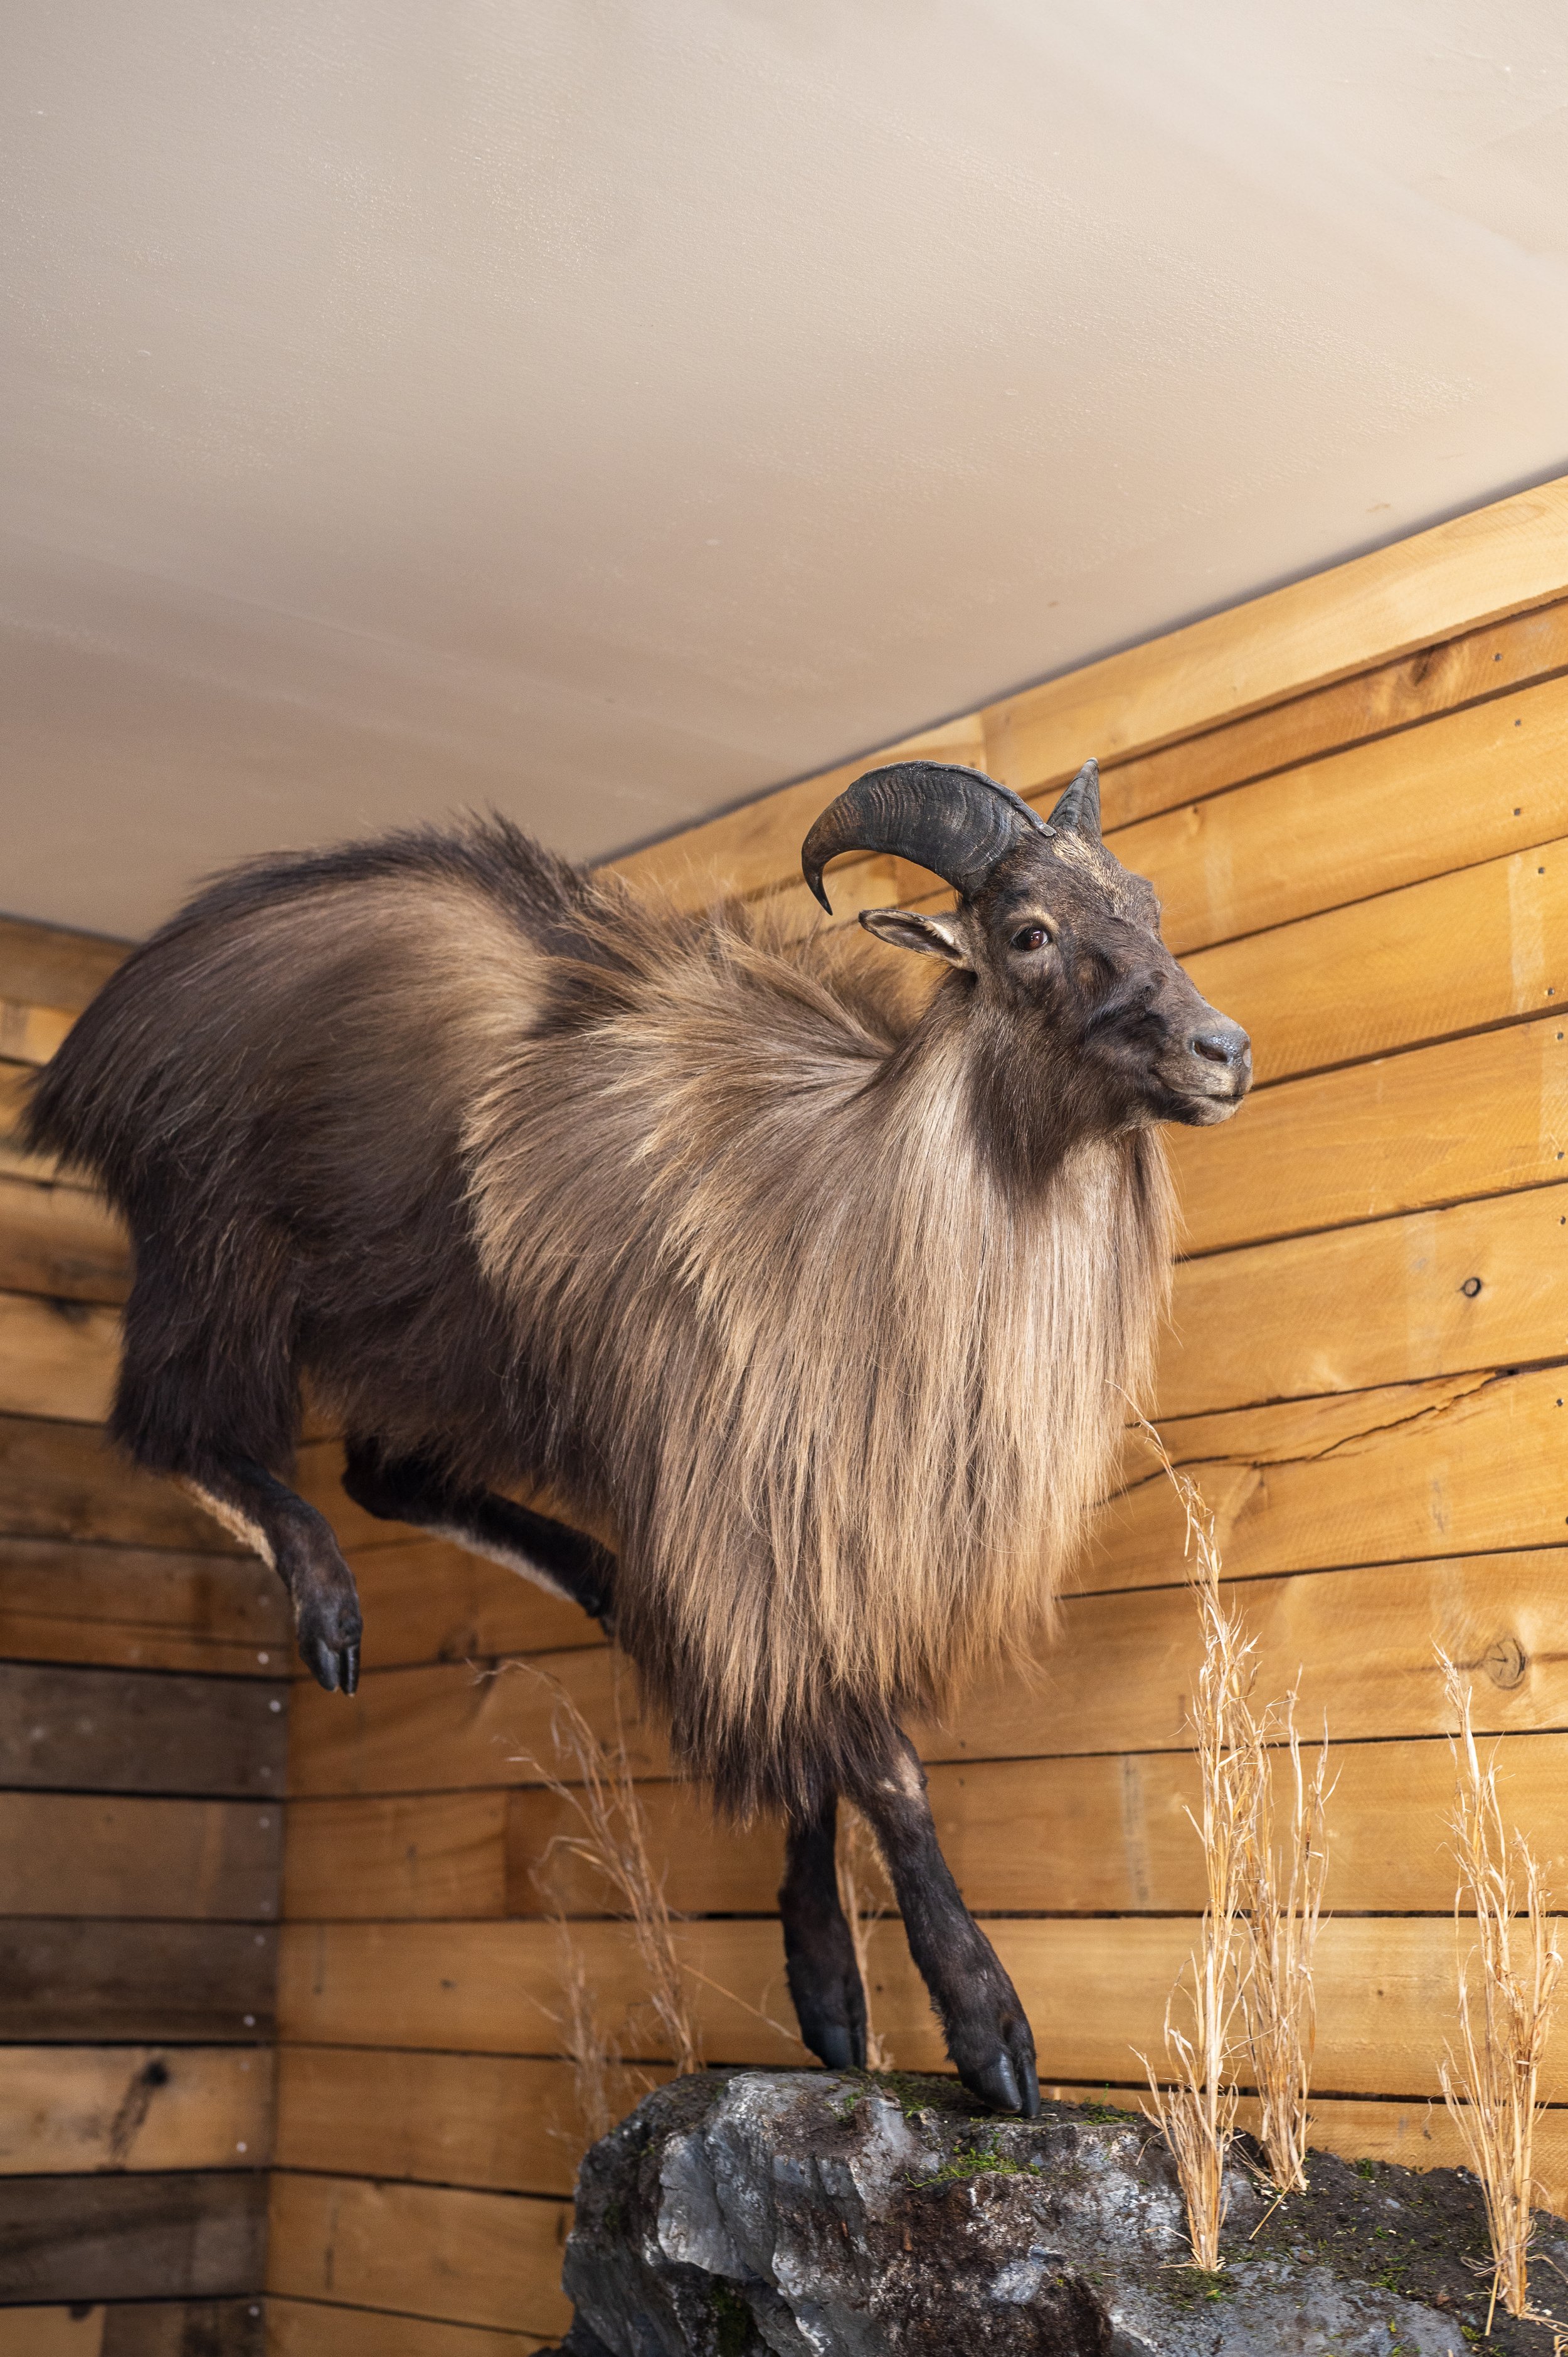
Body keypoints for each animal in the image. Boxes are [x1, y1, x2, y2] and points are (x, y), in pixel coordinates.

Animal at [25, 758, 1250, 2116]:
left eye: (1145, 904)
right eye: (1028, 933)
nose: (1223, 1050)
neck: (857, 1212)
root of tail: (105, 1025)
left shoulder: (782, 1554)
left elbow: (803, 1750)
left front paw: (829, 1997)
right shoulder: (750, 1519)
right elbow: (877, 1764)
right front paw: (990, 2034)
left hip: (442, 1350)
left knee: (384, 1473)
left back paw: (600, 1579)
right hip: (218, 1253)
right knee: (178, 1435)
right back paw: (331, 1603)